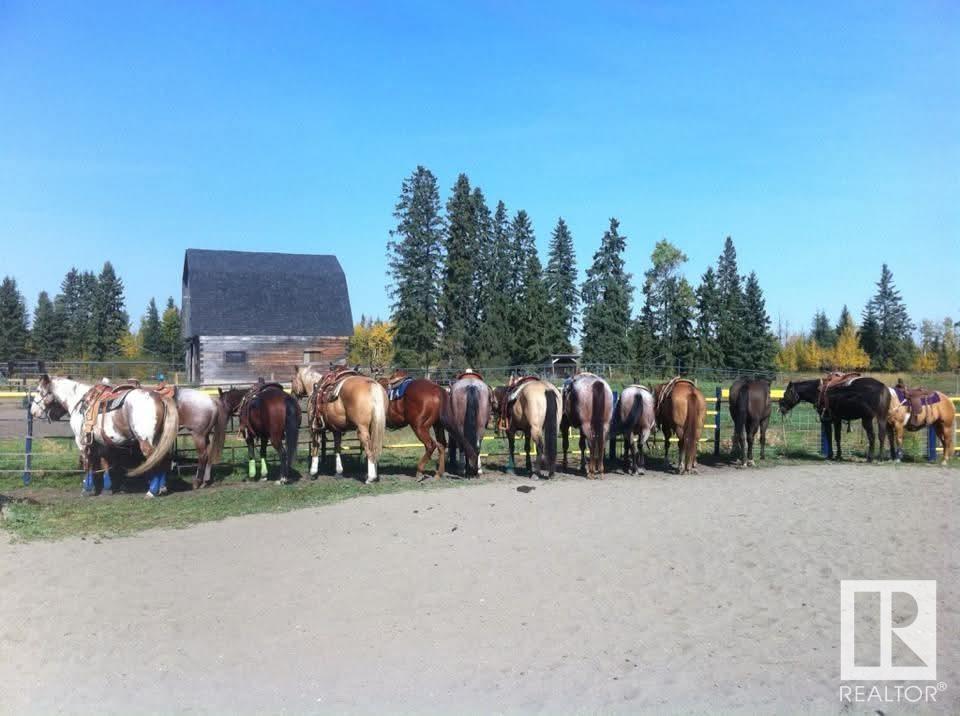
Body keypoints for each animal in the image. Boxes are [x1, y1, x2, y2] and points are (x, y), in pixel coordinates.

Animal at [30, 374, 180, 498]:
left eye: (38, 390)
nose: (32, 411)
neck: (80, 401)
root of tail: (160, 398)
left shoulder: (82, 441)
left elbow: (88, 464)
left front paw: (87, 489)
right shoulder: (101, 442)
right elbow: (105, 462)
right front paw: (107, 488)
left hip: (145, 441)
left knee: (155, 460)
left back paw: (152, 491)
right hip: (159, 439)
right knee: (162, 458)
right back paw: (161, 488)